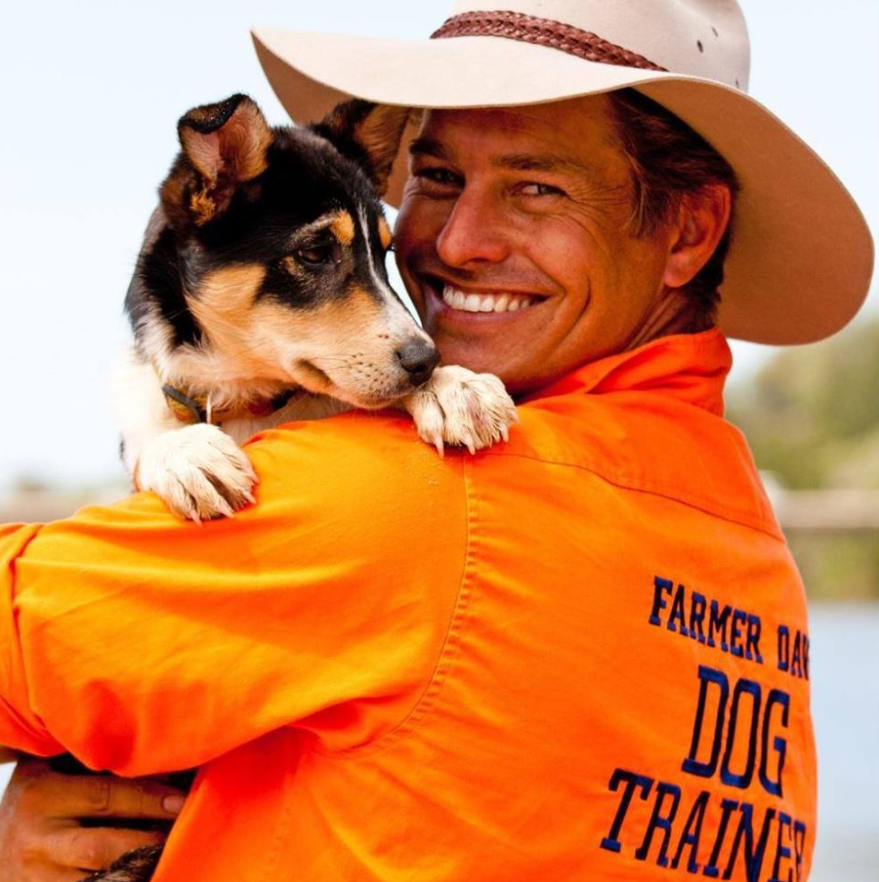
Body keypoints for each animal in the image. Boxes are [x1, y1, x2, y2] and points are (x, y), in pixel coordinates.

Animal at [67, 93, 516, 876]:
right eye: (313, 253)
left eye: (385, 253)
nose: (428, 357)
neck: (244, 400)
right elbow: (157, 427)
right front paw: (189, 453)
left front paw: (458, 388)